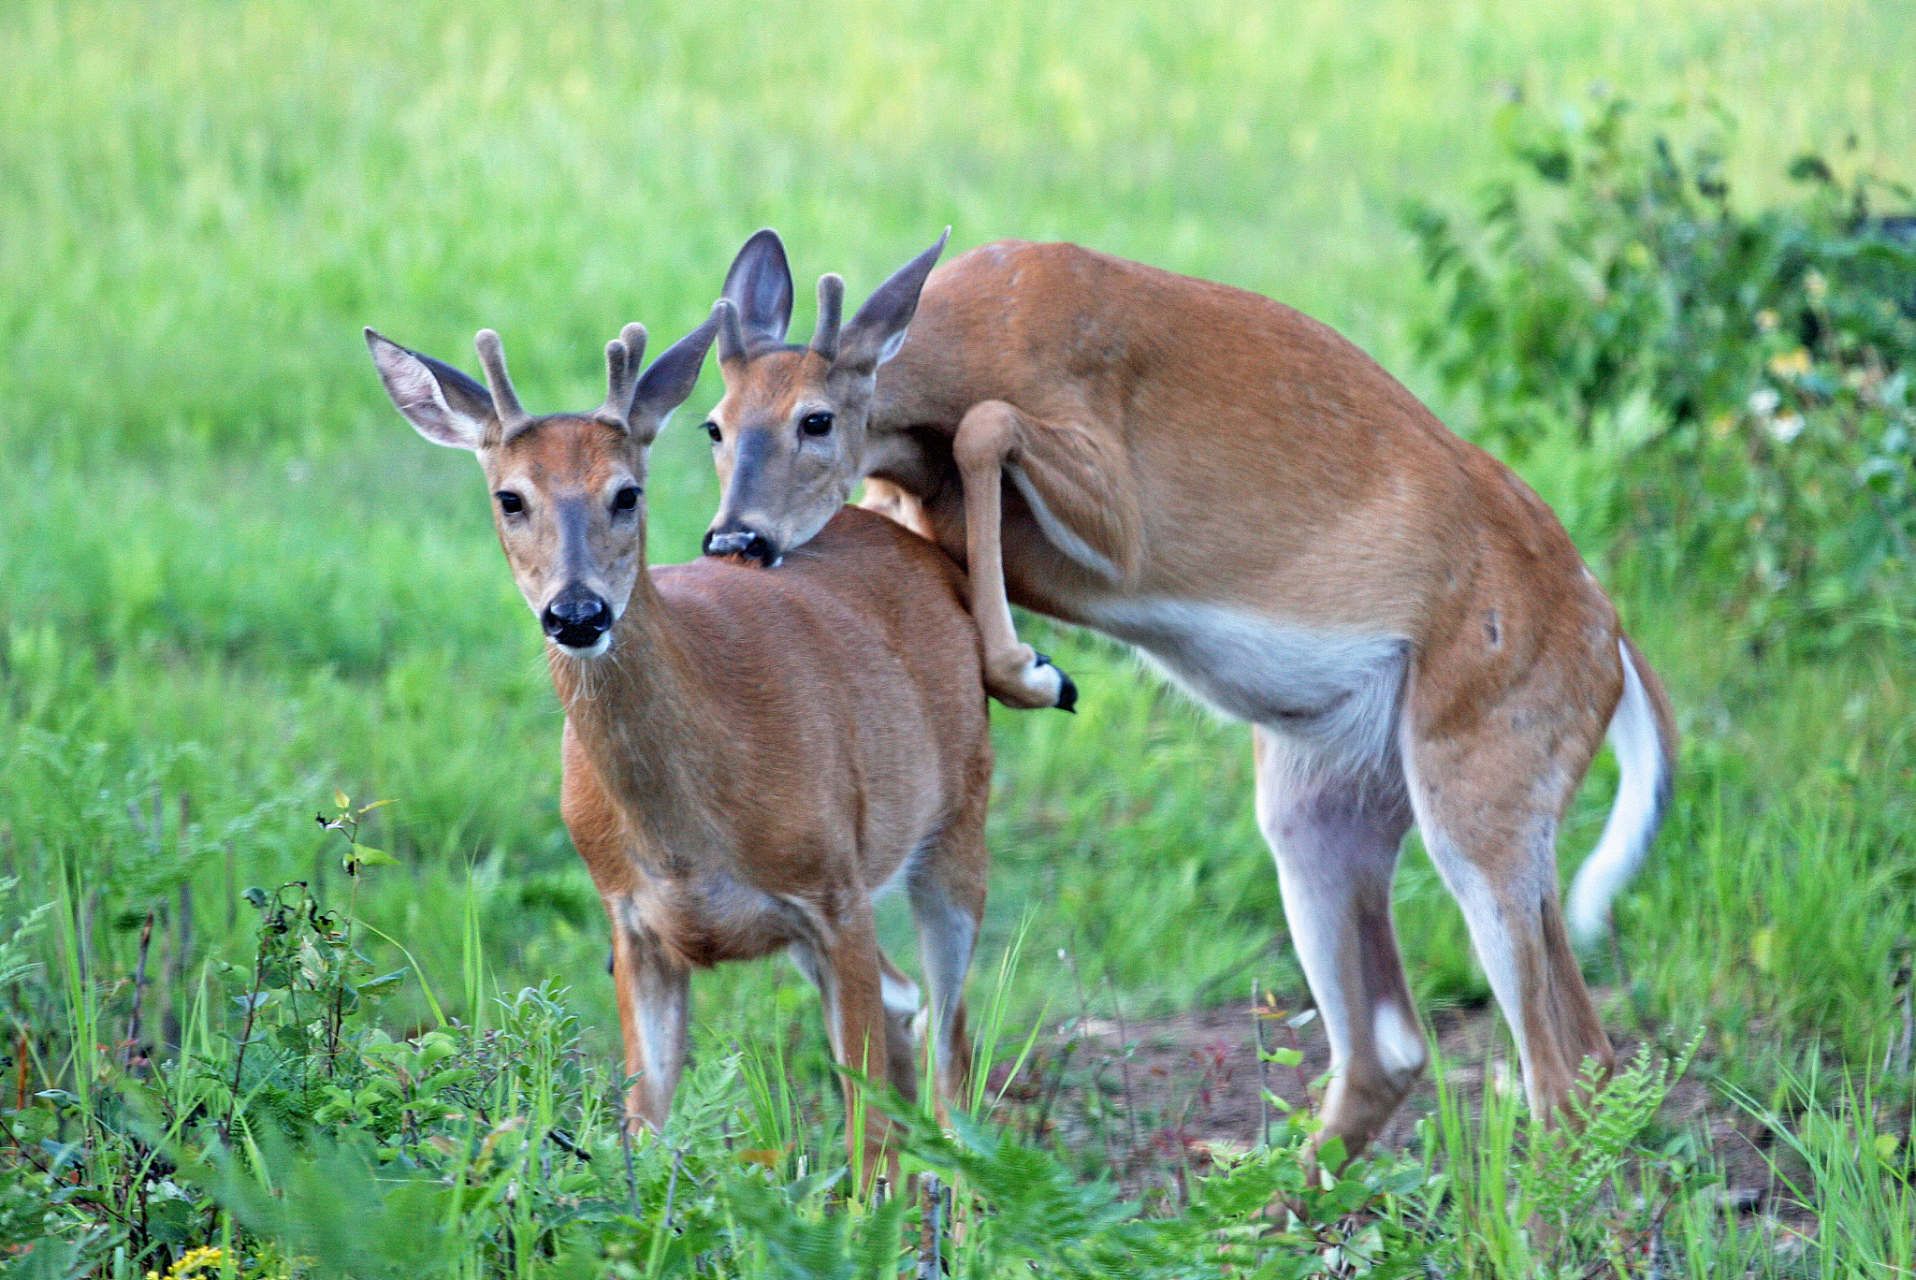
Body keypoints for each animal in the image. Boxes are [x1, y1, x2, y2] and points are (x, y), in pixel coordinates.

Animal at [362, 312, 988, 1180]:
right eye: (509, 497)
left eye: (627, 493)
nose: (578, 612)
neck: (687, 831)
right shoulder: (631, 921)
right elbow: (645, 1127)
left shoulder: (833, 890)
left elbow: (865, 1133)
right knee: (910, 1012)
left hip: (958, 816)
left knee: (952, 1061)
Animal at [689, 229, 1678, 1157]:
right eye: (715, 424)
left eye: (818, 419)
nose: (735, 538)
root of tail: (1613, 641)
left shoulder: (1119, 516)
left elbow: (984, 430)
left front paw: (1038, 675)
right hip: (1324, 798)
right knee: (1407, 1047)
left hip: (1482, 769)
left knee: (1560, 1065)